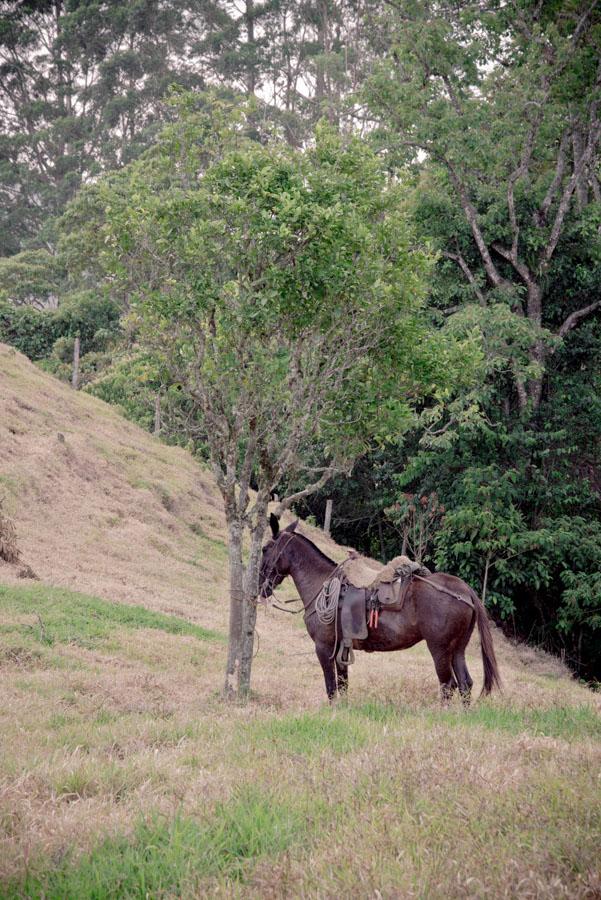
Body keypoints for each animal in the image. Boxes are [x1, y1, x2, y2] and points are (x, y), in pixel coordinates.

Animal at [258, 512, 502, 704]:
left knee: (448, 685)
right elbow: (343, 684)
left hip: (440, 649)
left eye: (265, 549)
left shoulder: (324, 648)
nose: (261, 587)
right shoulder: (340, 650)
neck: (322, 585)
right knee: (465, 684)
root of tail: (464, 590)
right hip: (457, 650)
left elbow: (331, 688)